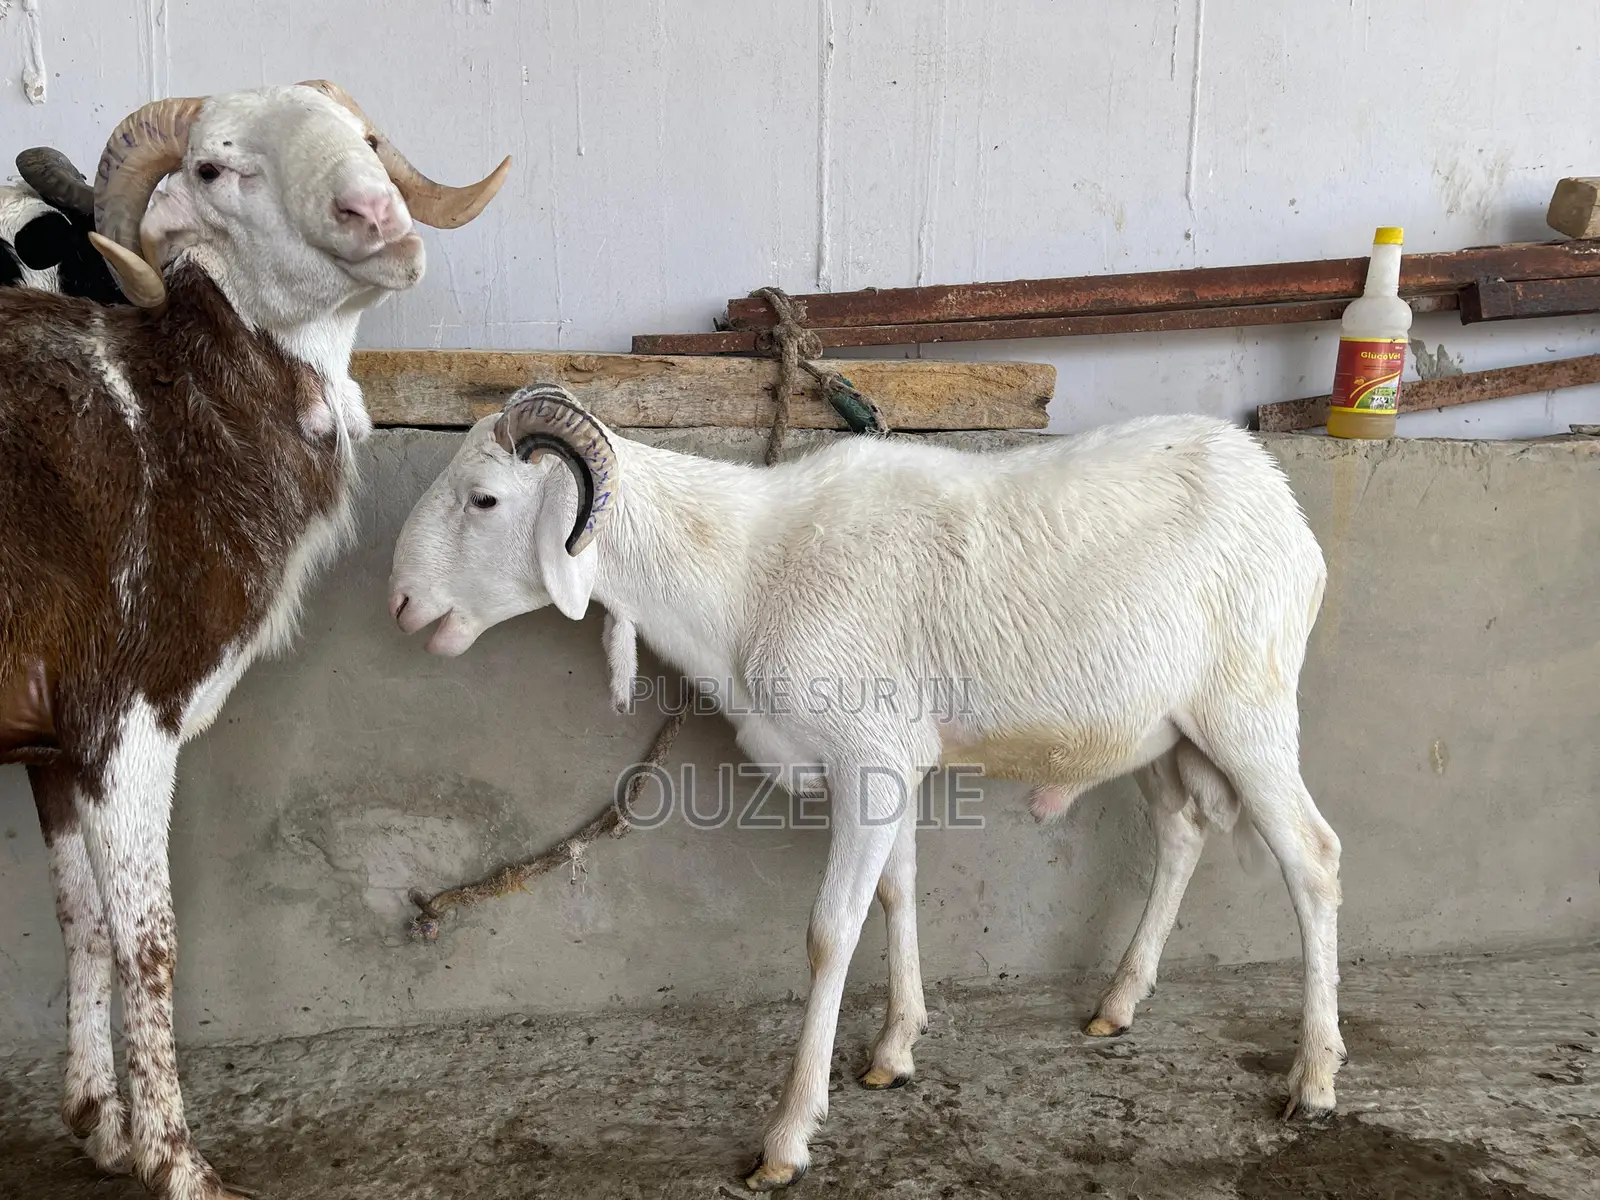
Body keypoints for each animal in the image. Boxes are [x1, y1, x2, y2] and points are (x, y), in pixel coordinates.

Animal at [0, 82, 507, 1200]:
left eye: (366, 140)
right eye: (214, 168)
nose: (379, 217)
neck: (171, 416)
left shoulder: (56, 745)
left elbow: (82, 923)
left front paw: (98, 1128)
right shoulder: (124, 717)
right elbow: (149, 943)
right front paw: (178, 1166)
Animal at [388, 385, 1345, 1190]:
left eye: (484, 500)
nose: (400, 604)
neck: (745, 576)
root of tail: (1280, 500)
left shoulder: (866, 756)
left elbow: (829, 933)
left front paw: (785, 1140)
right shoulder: (892, 767)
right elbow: (898, 892)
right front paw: (895, 1050)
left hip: (1249, 711)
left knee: (1314, 859)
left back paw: (1314, 1079)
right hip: (1163, 731)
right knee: (1182, 832)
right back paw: (1117, 1004)